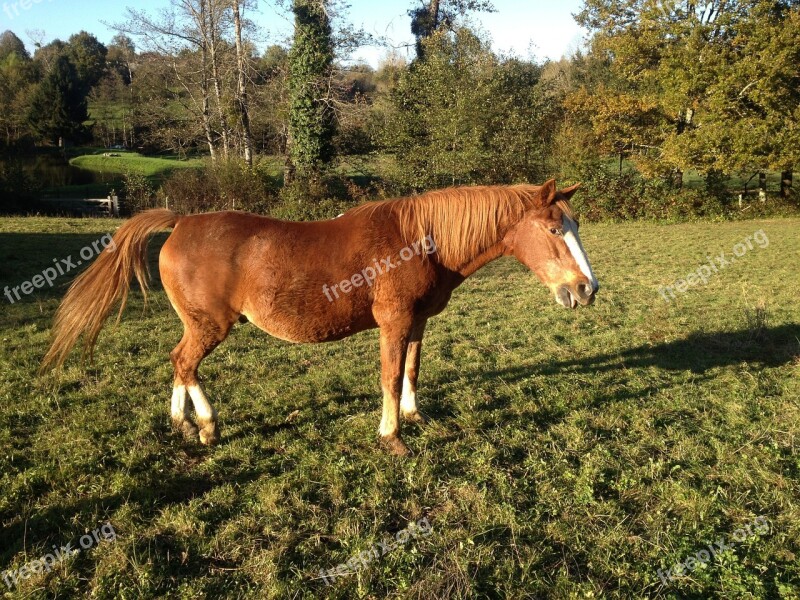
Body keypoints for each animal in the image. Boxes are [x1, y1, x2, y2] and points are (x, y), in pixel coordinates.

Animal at [40, 178, 596, 454]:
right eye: (553, 230)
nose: (586, 289)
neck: (421, 240)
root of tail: (182, 221)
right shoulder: (394, 323)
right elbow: (389, 376)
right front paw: (393, 437)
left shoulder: (417, 322)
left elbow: (412, 371)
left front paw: (416, 416)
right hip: (209, 325)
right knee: (185, 362)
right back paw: (207, 426)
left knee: (180, 363)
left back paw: (184, 423)